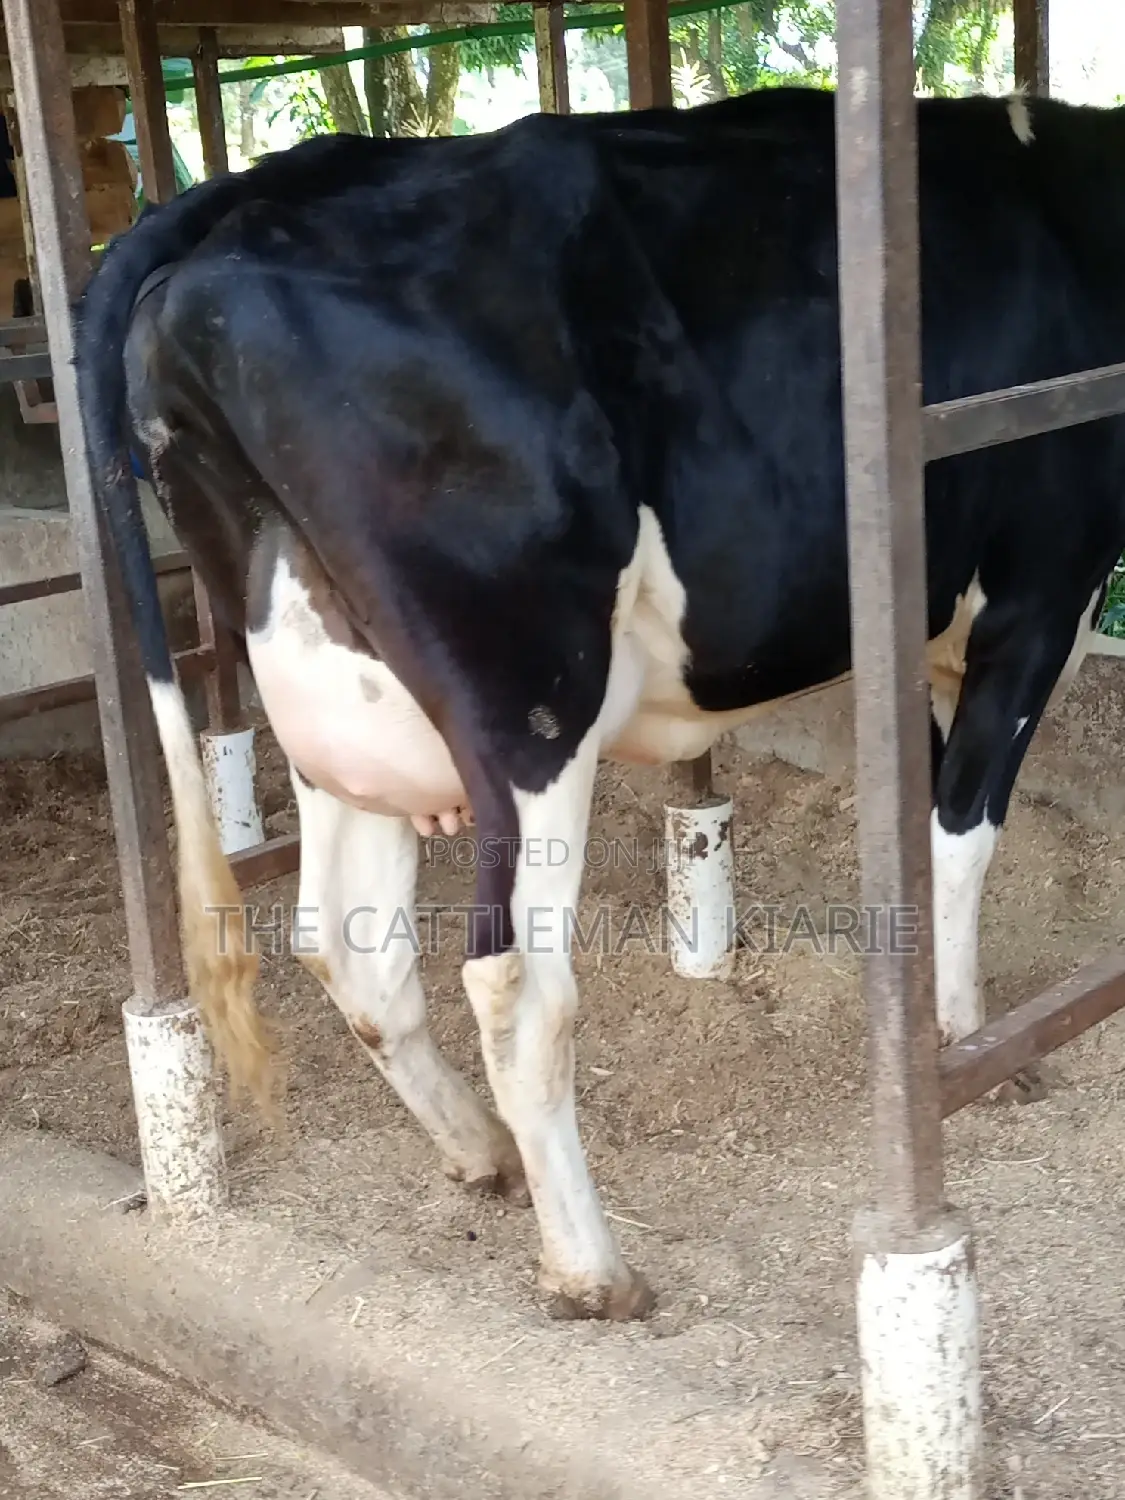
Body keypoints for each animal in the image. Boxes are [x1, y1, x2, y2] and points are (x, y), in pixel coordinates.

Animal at [74, 85, 1125, 1321]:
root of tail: (239, 207)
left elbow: (918, 827)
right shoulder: (1040, 594)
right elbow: (962, 832)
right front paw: (973, 1042)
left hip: (326, 695)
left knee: (347, 943)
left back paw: (475, 1151)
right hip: (530, 698)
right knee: (517, 983)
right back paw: (590, 1267)